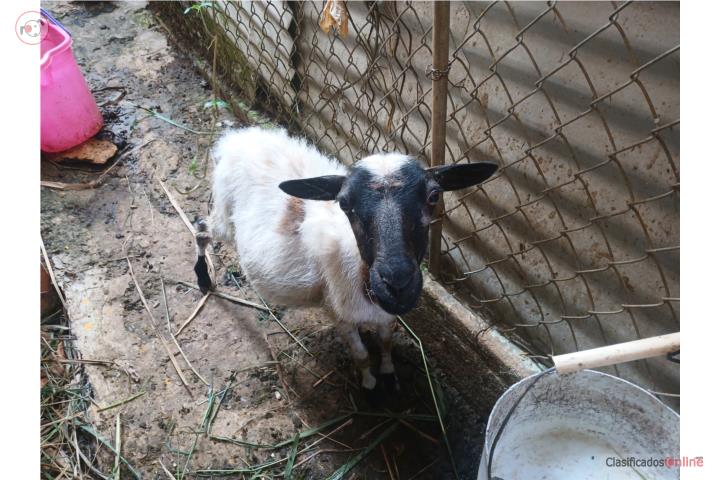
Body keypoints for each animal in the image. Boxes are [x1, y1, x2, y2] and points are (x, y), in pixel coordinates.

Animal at [193, 127, 497, 394]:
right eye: (343, 204)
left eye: (434, 195)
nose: (397, 283)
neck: (362, 274)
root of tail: (236, 138)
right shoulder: (338, 311)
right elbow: (361, 354)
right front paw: (370, 385)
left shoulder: (385, 313)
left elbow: (386, 341)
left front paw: (388, 374)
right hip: (224, 217)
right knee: (201, 228)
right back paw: (203, 279)